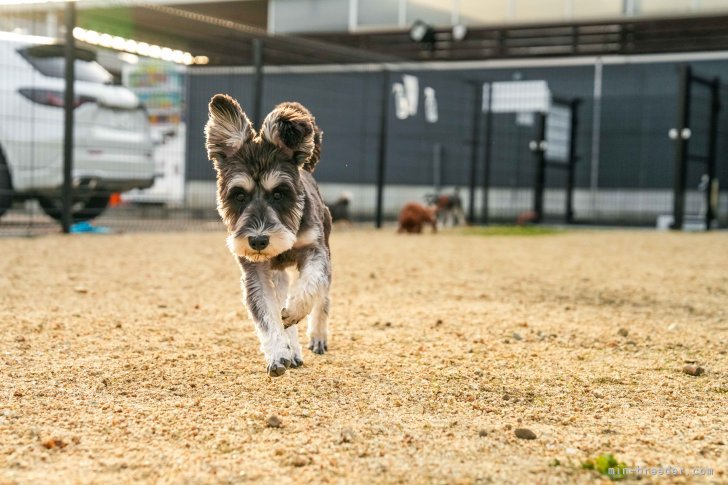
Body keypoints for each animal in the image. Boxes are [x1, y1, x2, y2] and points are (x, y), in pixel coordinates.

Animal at [203, 92, 332, 376]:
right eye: (239, 195)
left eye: (279, 194)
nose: (259, 241)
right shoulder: (255, 272)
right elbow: (266, 313)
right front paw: (278, 354)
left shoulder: (316, 251)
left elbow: (310, 285)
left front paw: (294, 311)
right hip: (277, 274)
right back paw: (292, 349)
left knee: (323, 298)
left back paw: (317, 336)